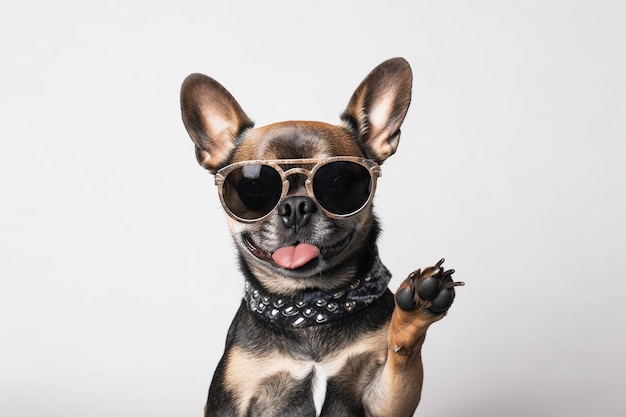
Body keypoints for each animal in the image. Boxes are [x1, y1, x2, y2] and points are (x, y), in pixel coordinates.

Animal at [179, 56, 458, 416]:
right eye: (254, 187)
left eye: (339, 182)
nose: (296, 206)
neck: (309, 306)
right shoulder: (230, 400)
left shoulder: (383, 401)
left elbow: (402, 357)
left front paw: (413, 314)